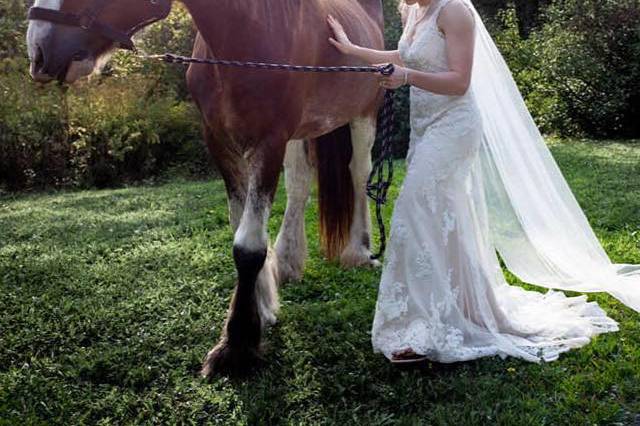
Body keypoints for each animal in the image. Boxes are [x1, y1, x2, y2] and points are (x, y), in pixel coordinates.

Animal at [26, 0, 384, 376]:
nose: (39, 50)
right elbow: (240, 227)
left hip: (365, 114)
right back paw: (288, 262)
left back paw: (360, 251)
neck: (247, 33)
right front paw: (262, 307)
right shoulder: (221, 143)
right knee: (300, 183)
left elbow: (248, 246)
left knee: (359, 174)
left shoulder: (269, 141)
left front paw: (236, 344)